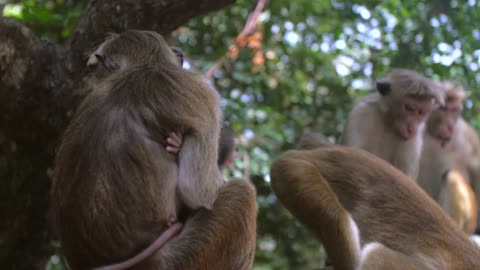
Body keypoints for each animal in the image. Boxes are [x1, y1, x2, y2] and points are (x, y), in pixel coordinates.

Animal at [416, 81, 480, 233]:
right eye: (444, 109)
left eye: (455, 110)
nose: (450, 126)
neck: (434, 134)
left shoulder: (469, 135)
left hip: (470, 220)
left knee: (451, 176)